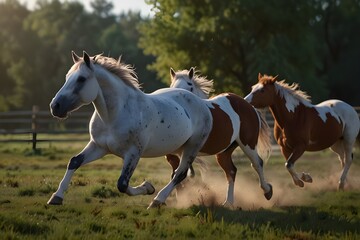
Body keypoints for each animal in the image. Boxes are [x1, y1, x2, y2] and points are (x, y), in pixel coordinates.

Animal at [167, 67, 274, 204]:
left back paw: (267, 191)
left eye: (190, 86)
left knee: (257, 163)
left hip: (247, 144)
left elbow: (181, 171)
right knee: (231, 171)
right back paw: (228, 202)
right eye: (172, 86)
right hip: (223, 153)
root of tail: (249, 106)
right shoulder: (173, 154)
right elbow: (176, 174)